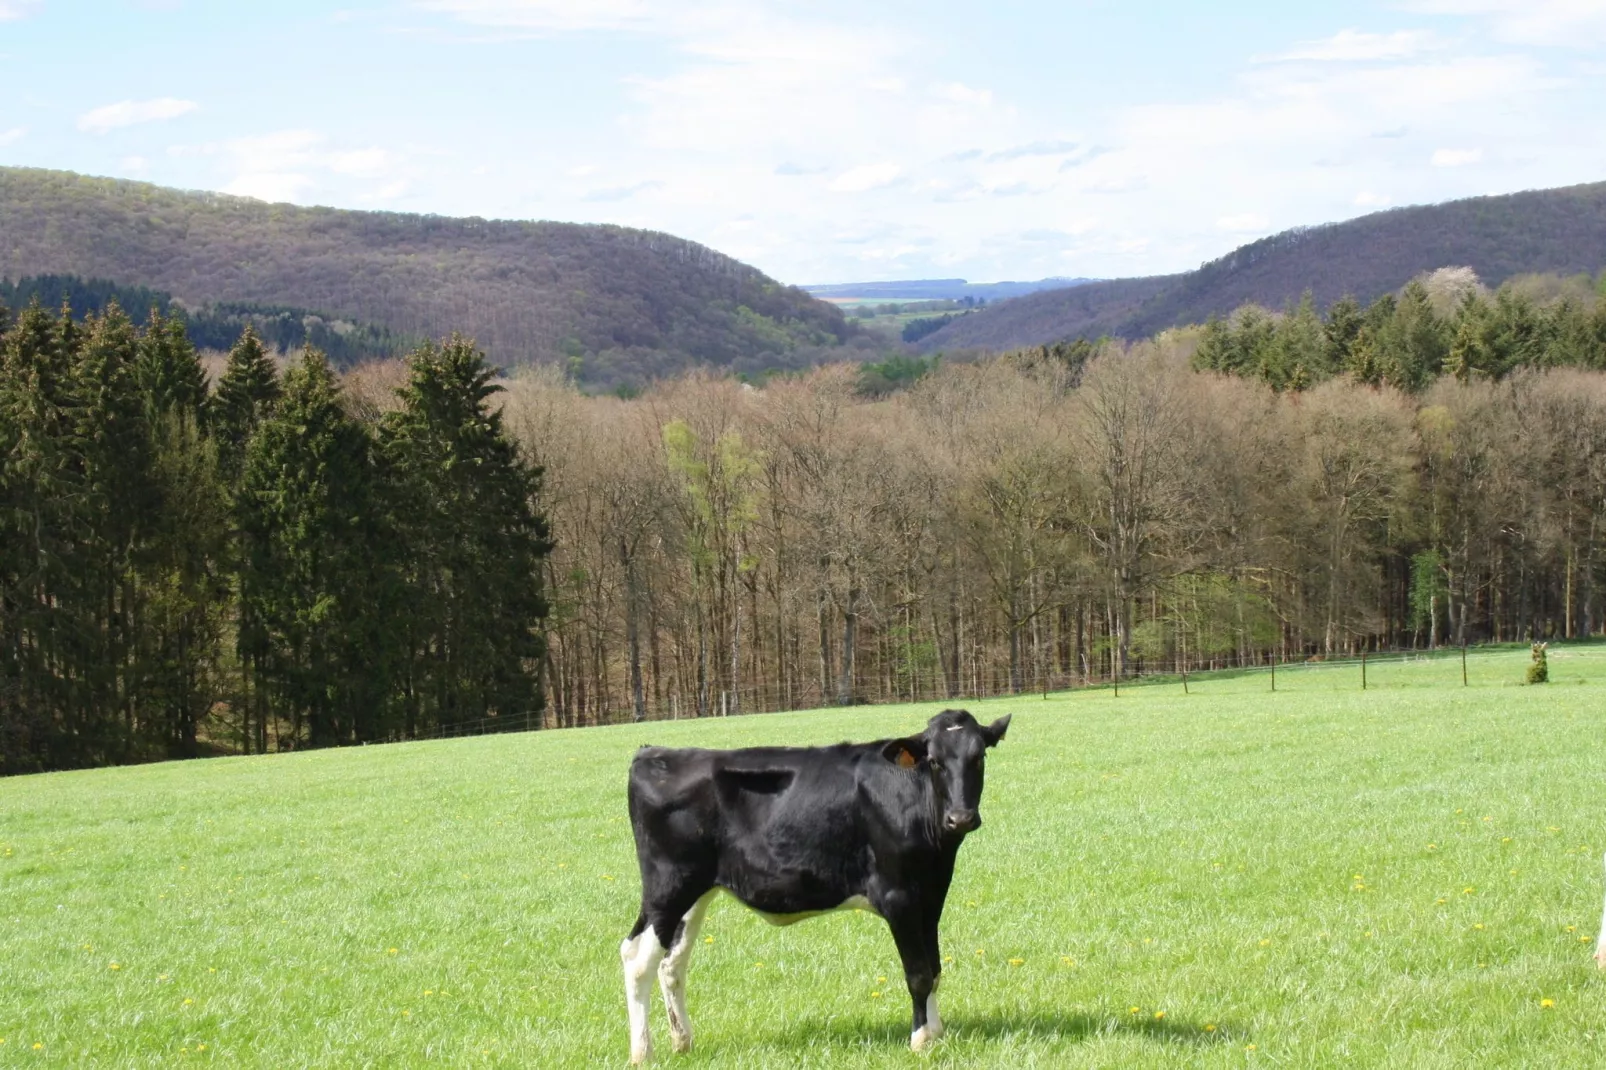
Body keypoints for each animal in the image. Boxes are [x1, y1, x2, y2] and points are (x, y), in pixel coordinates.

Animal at [613, 706, 1002, 1060]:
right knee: (637, 958)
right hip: (667, 886)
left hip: (696, 892)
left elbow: (934, 969)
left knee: (672, 963)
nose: (960, 818)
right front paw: (920, 1040)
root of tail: (653, 753)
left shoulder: (932, 895)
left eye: (979, 756)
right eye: (934, 761)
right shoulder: (899, 896)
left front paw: (936, 1033)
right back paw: (642, 1053)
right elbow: (918, 973)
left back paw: (682, 1041)